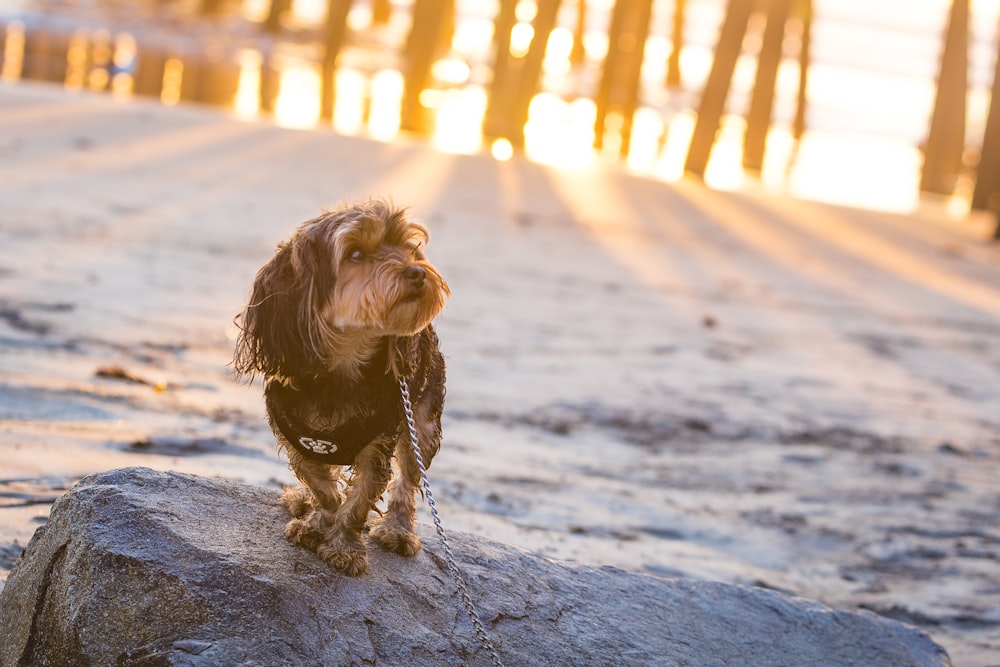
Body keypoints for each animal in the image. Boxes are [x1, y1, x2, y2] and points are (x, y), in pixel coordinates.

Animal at [230, 197, 450, 576]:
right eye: (356, 254)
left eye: (408, 247)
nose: (417, 272)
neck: (342, 369)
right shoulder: (296, 437)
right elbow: (323, 488)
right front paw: (317, 523)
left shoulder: (379, 442)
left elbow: (359, 499)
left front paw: (344, 547)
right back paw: (300, 501)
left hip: (422, 418)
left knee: (409, 476)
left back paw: (398, 530)